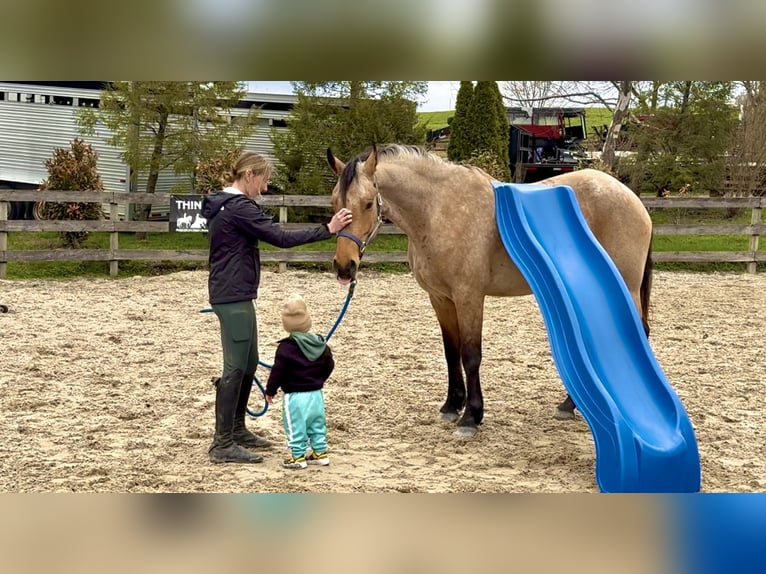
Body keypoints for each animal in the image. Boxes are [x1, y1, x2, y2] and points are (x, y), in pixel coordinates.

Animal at [327, 144, 653, 435]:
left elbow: (471, 355)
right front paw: (451, 406)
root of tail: (632, 199)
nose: (345, 266)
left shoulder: (469, 297)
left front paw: (471, 417)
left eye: (368, 203)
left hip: (625, 286)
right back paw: (569, 405)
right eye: (334, 202)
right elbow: (451, 352)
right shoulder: (441, 298)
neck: (438, 210)